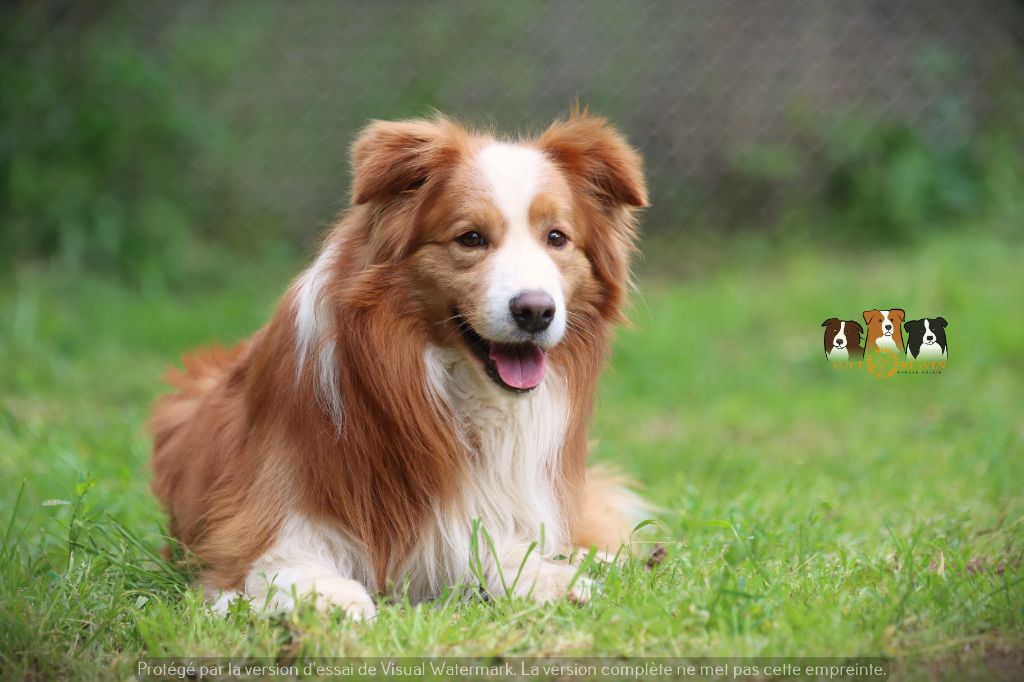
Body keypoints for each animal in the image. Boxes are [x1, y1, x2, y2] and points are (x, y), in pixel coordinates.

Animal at [149, 112, 647, 614]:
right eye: (471, 238)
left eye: (556, 238)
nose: (535, 311)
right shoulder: (257, 527)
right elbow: (283, 565)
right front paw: (334, 597)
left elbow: (498, 546)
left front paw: (551, 577)